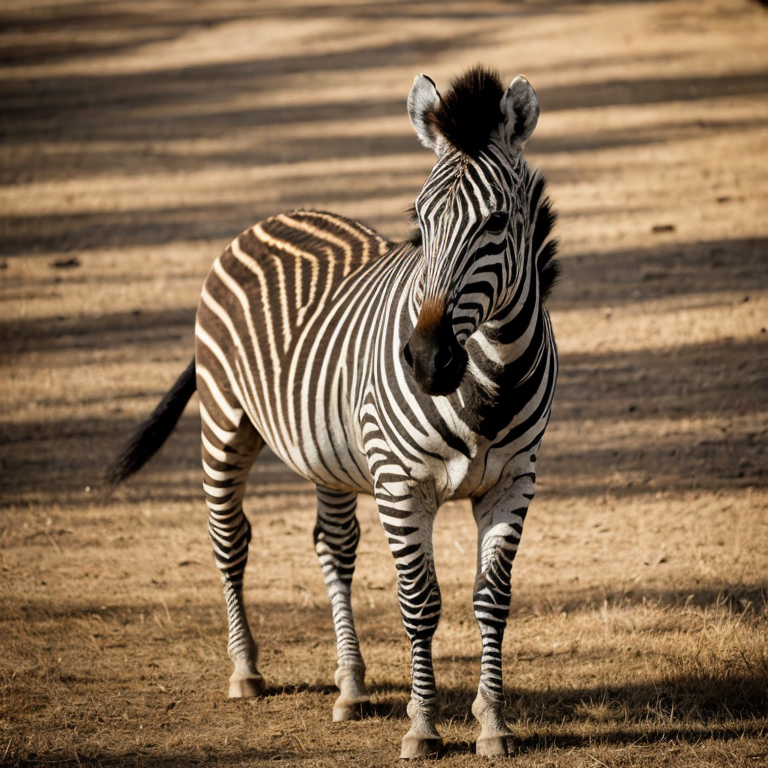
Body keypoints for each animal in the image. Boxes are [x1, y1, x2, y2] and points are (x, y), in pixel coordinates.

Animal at [109, 66, 559, 758]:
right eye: (419, 219)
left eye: (498, 220)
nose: (426, 360)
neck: (491, 381)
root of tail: (276, 216)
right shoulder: (401, 484)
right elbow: (419, 603)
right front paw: (423, 727)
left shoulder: (513, 482)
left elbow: (492, 601)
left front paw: (492, 724)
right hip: (225, 422)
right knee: (230, 539)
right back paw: (246, 671)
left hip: (331, 452)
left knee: (333, 546)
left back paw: (350, 687)